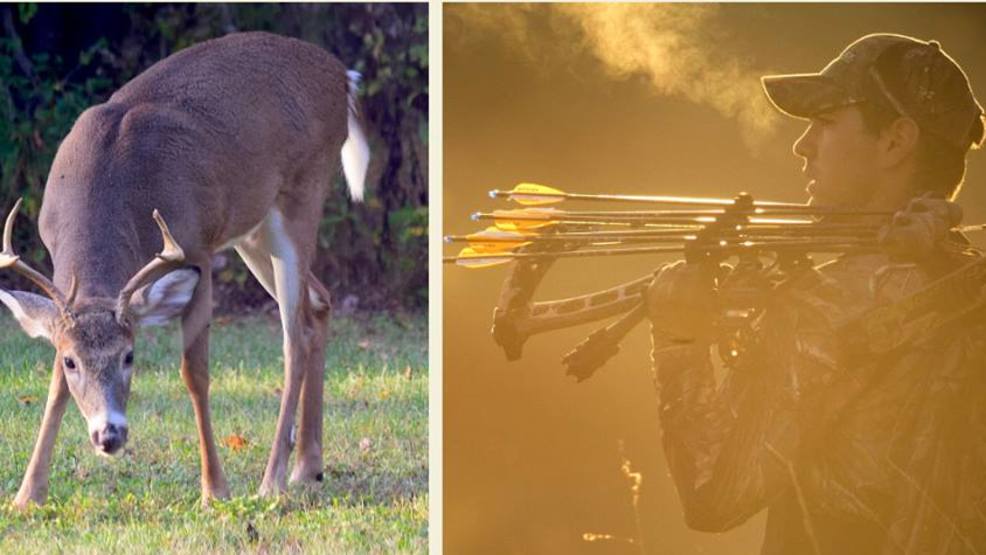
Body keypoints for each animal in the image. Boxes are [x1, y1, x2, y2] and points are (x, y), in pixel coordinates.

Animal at [0, 31, 370, 508]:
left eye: (130, 355)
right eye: (70, 361)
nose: (109, 436)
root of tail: (343, 76)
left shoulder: (197, 246)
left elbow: (194, 373)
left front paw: (215, 489)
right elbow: (53, 389)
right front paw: (28, 494)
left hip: (302, 195)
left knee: (296, 336)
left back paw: (273, 480)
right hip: (253, 230)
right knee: (320, 302)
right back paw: (308, 466)